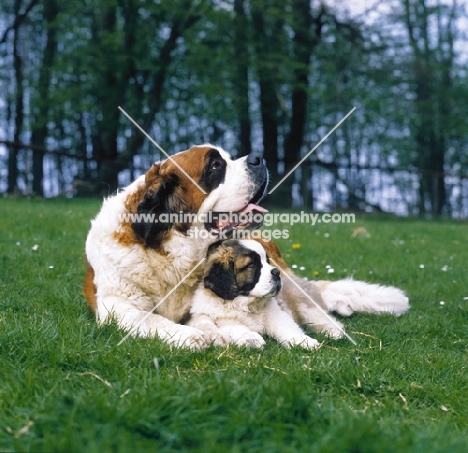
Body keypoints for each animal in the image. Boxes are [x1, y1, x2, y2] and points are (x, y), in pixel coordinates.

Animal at [188, 240, 320, 350]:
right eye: (251, 264)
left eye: (267, 261)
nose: (277, 272)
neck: (248, 305)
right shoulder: (220, 320)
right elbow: (236, 326)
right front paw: (251, 338)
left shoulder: (276, 314)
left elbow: (287, 327)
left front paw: (304, 341)